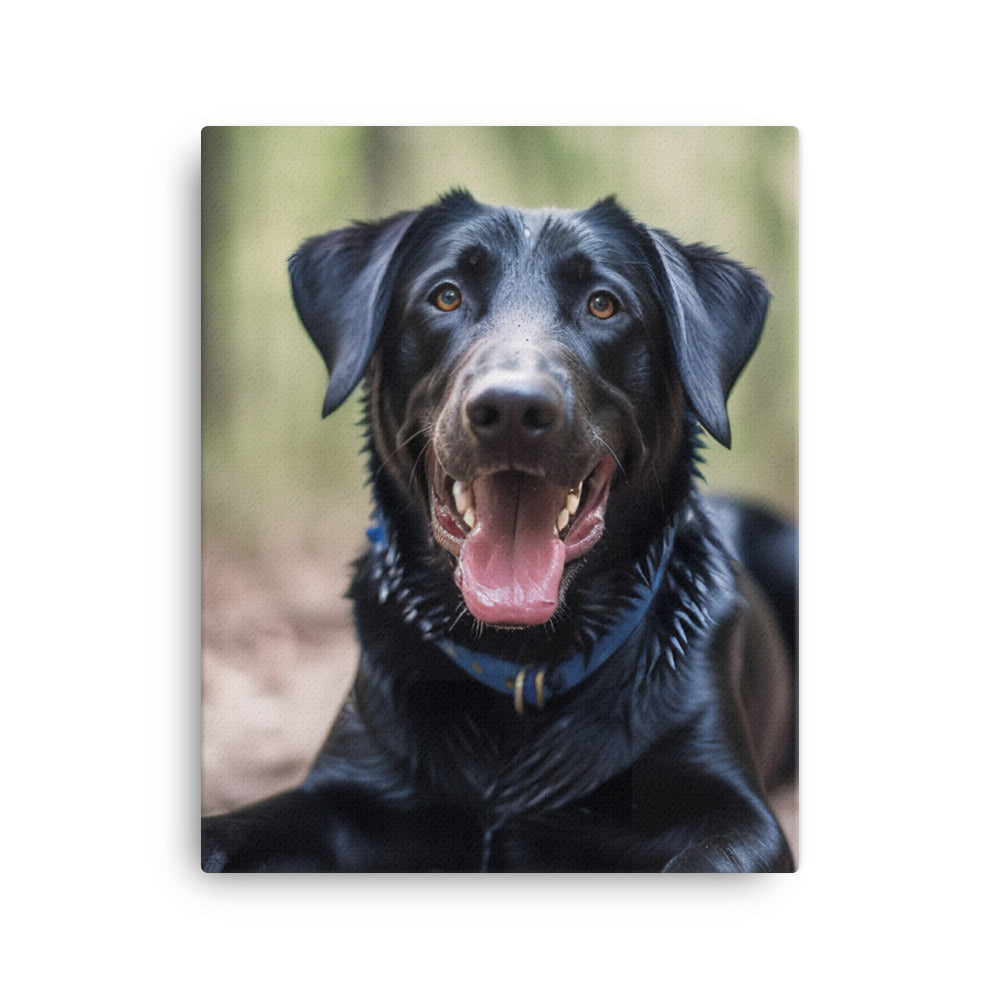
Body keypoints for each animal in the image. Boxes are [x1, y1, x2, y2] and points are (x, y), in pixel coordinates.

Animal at [201, 191, 796, 872]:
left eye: (603, 304)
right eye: (446, 296)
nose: (512, 407)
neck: (524, 663)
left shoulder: (740, 816)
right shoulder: (345, 788)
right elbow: (222, 830)